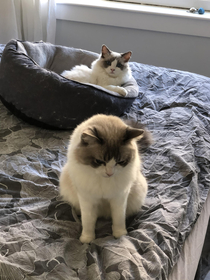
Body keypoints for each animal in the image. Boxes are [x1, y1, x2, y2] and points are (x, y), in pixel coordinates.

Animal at [0, 39, 139, 130]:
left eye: (118, 65)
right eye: (109, 63)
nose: (112, 70)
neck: (110, 78)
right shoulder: (103, 85)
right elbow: (116, 88)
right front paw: (124, 91)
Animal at [59, 114, 151, 243]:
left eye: (120, 162)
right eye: (99, 161)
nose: (109, 173)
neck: (103, 181)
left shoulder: (119, 198)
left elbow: (118, 219)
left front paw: (120, 235)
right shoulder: (87, 200)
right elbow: (88, 222)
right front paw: (87, 240)